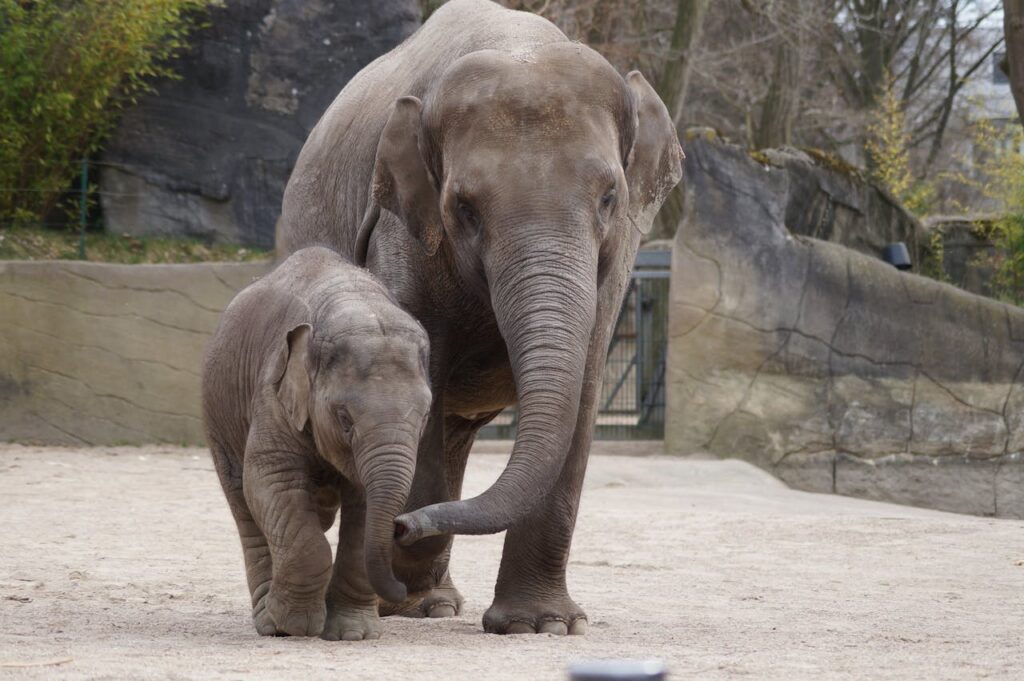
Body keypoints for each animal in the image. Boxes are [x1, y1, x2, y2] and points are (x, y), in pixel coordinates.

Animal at [202, 246, 432, 640]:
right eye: (344, 418)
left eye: (426, 415)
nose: (403, 591)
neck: (355, 301)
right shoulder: (274, 393)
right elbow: (272, 482)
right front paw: (294, 626)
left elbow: (363, 510)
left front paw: (353, 634)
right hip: (219, 416)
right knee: (243, 502)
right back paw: (269, 622)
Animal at [278, 0, 683, 635]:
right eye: (464, 207)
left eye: (609, 198)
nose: (402, 526)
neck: (520, 44)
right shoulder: (402, 227)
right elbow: (416, 368)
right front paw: (404, 571)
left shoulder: (619, 255)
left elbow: (584, 391)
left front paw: (541, 626)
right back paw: (410, 601)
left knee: (456, 433)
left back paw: (433, 603)